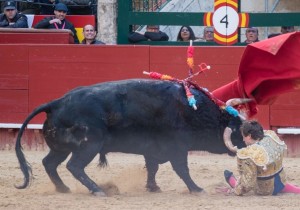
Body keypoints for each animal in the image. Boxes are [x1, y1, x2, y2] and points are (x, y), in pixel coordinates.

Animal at [14, 79, 246, 195]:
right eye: (237, 131)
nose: (246, 145)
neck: (193, 110)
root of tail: (56, 103)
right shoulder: (177, 148)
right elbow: (182, 169)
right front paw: (197, 189)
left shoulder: (152, 150)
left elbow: (152, 168)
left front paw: (153, 187)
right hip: (88, 146)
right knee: (74, 166)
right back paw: (97, 190)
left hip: (61, 147)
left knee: (49, 163)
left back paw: (63, 189)